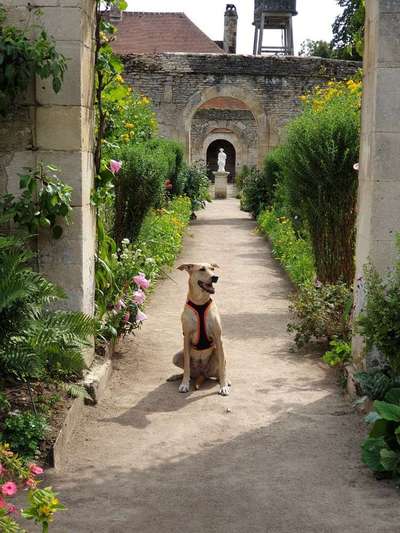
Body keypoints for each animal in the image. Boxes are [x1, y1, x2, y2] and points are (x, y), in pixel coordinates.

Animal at [169, 262, 231, 394]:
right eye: (202, 269)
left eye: (212, 269)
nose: (215, 277)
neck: (200, 302)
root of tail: (202, 374)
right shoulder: (186, 337)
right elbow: (187, 366)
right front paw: (184, 384)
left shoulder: (218, 337)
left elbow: (222, 368)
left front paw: (223, 386)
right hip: (176, 356)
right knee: (189, 372)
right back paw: (177, 376)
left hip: (219, 352)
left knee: (220, 371)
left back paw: (225, 380)